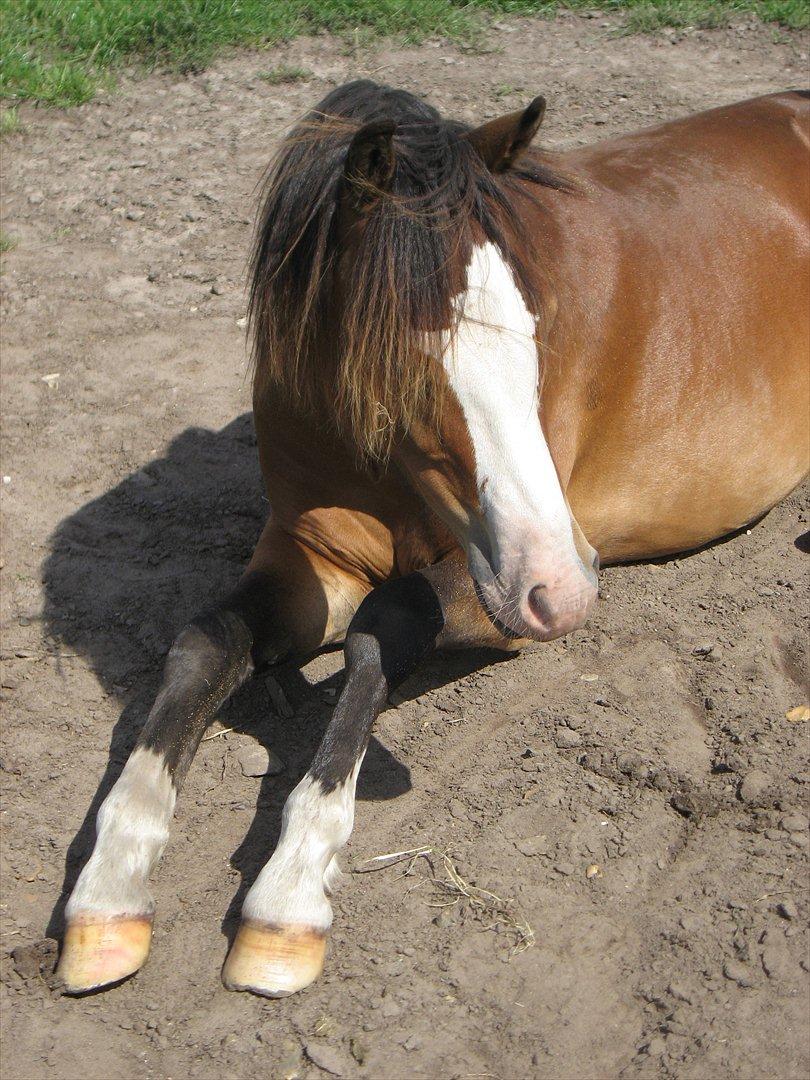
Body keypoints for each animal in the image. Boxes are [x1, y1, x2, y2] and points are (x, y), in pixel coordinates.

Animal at [54, 79, 807, 997]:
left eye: (534, 327)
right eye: (397, 356)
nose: (566, 589)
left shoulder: (492, 594)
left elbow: (383, 629)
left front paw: (291, 892)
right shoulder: (312, 563)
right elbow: (206, 643)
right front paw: (110, 888)